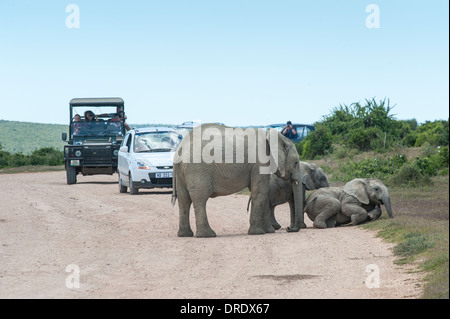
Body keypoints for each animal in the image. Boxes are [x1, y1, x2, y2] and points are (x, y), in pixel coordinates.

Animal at [171, 124, 304, 239]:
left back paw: (184, 235)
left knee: (184, 200)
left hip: (183, 172)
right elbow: (260, 192)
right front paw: (258, 233)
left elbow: (263, 193)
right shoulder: (260, 161)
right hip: (197, 169)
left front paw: (269, 231)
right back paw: (208, 235)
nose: (289, 228)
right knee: (200, 198)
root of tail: (179, 149)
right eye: (296, 163)